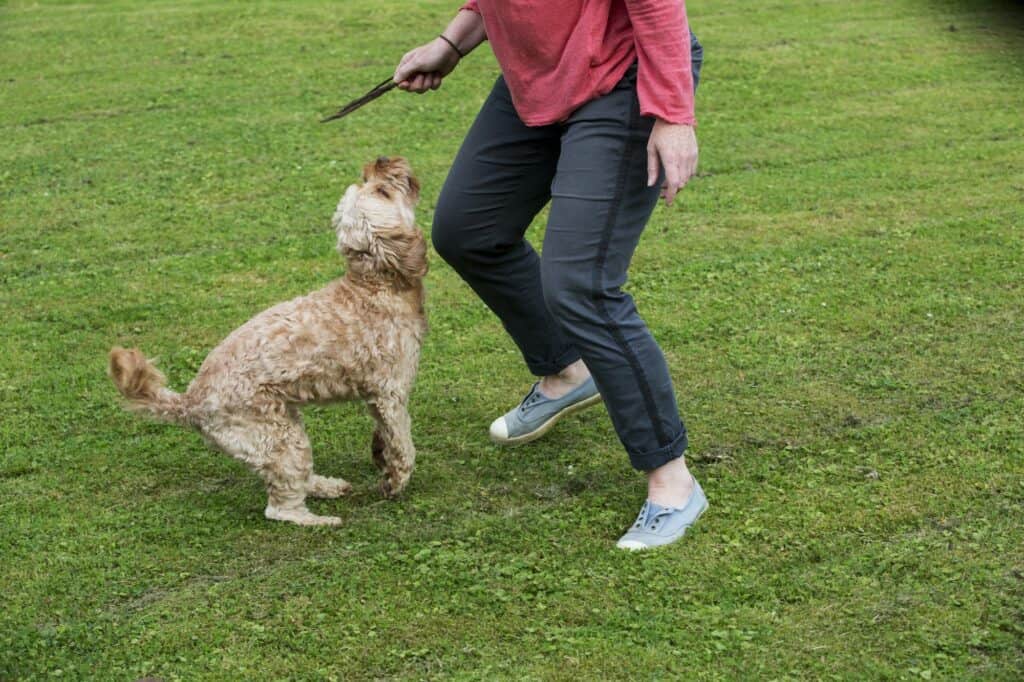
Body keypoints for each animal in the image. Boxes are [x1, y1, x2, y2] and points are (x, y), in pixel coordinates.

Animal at [110, 156, 430, 522]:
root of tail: (190, 401)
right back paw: (320, 519)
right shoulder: (391, 392)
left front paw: (381, 457)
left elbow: (384, 433)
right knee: (280, 509)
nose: (379, 161)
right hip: (278, 439)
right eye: (381, 190)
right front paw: (396, 480)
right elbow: (403, 442)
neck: (374, 285)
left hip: (283, 424)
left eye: (373, 183)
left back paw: (325, 485)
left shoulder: (375, 396)